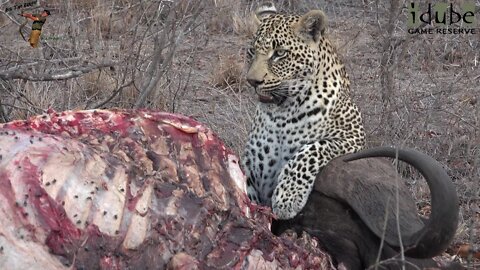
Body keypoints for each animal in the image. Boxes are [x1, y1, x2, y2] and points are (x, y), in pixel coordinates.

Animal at [242, 3, 366, 219]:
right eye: (251, 51)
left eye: (279, 53)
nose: (253, 81)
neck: (281, 112)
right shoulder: (253, 164)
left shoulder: (353, 136)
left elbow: (310, 150)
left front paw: (287, 197)